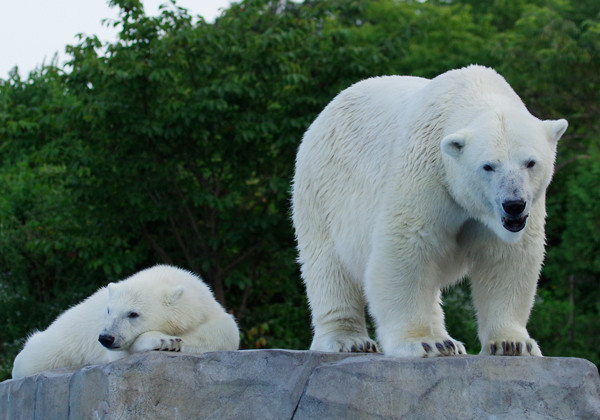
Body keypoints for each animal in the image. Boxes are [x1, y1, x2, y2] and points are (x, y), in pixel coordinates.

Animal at [11, 264, 239, 378]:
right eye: (108, 310)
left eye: (133, 314)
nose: (106, 338)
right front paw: (165, 341)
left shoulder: (206, 305)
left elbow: (228, 330)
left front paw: (174, 341)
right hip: (55, 347)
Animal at [292, 65, 568, 358]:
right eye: (488, 166)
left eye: (530, 162)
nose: (513, 204)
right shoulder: (427, 173)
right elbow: (407, 247)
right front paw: (422, 342)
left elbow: (507, 259)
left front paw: (512, 343)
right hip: (322, 190)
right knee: (328, 264)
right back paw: (350, 340)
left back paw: (448, 341)